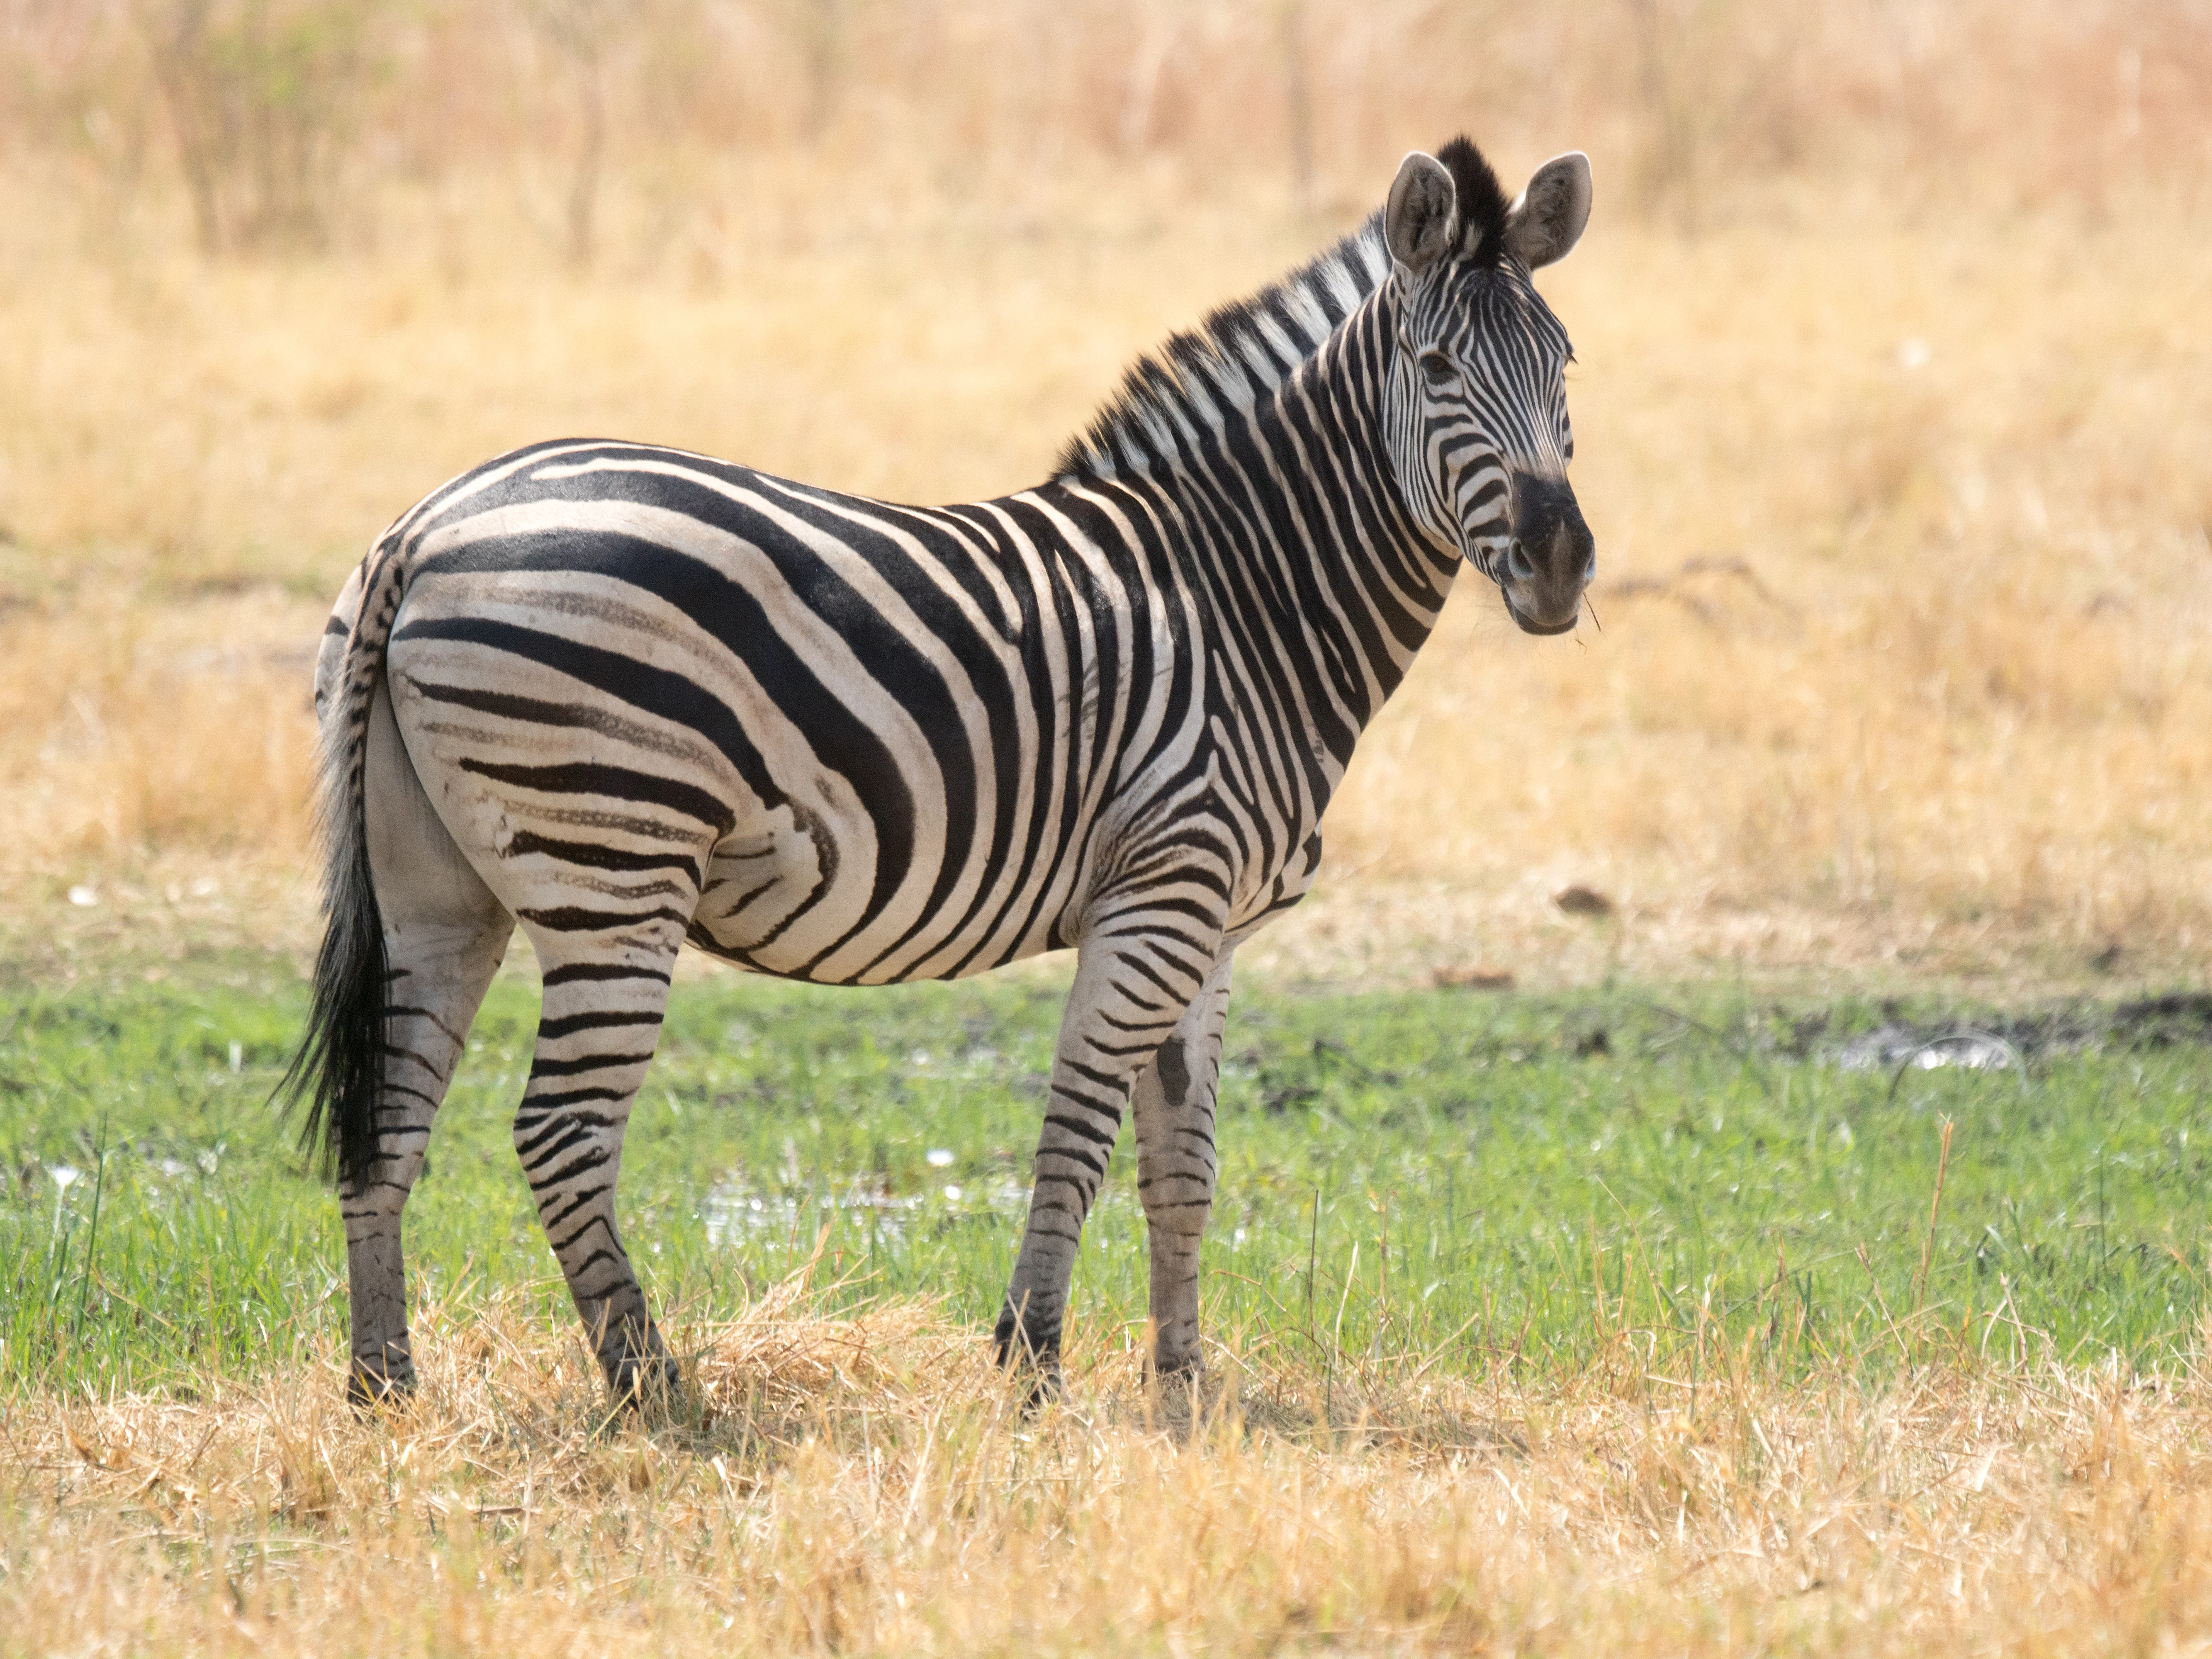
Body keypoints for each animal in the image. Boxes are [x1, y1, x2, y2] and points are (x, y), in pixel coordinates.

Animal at [285, 135, 1596, 1406]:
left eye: (1567, 369)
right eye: (1435, 367)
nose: (1559, 562)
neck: (1245, 593)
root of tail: (423, 528)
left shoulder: (1211, 925)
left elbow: (1183, 1168)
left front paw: (1182, 1395)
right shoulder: (1159, 894)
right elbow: (1077, 1133)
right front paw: (1031, 1368)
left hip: (438, 886)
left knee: (388, 1122)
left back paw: (384, 1385)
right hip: (614, 863)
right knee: (561, 1134)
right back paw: (659, 1395)